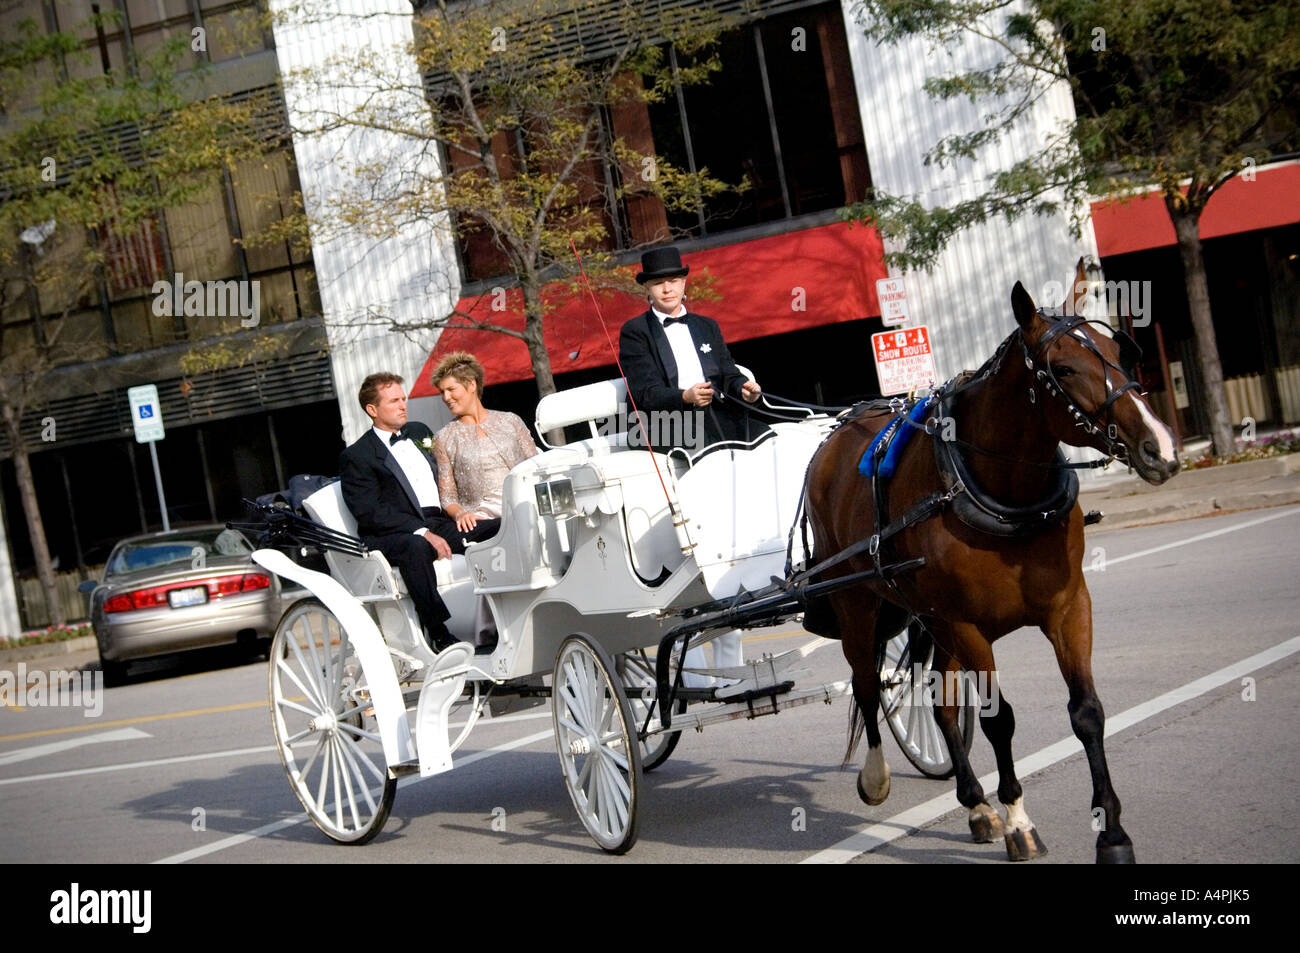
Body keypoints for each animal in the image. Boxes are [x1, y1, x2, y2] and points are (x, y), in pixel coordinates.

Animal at [800, 262, 1180, 863]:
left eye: (1119, 351)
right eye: (1063, 368)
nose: (1159, 446)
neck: (1002, 490)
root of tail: (832, 439)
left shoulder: (1068, 608)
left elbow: (1087, 713)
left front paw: (1112, 832)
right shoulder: (967, 625)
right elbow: (1000, 720)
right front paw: (1020, 818)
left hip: (928, 620)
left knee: (937, 704)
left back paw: (976, 805)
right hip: (857, 604)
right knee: (865, 684)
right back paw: (878, 777)